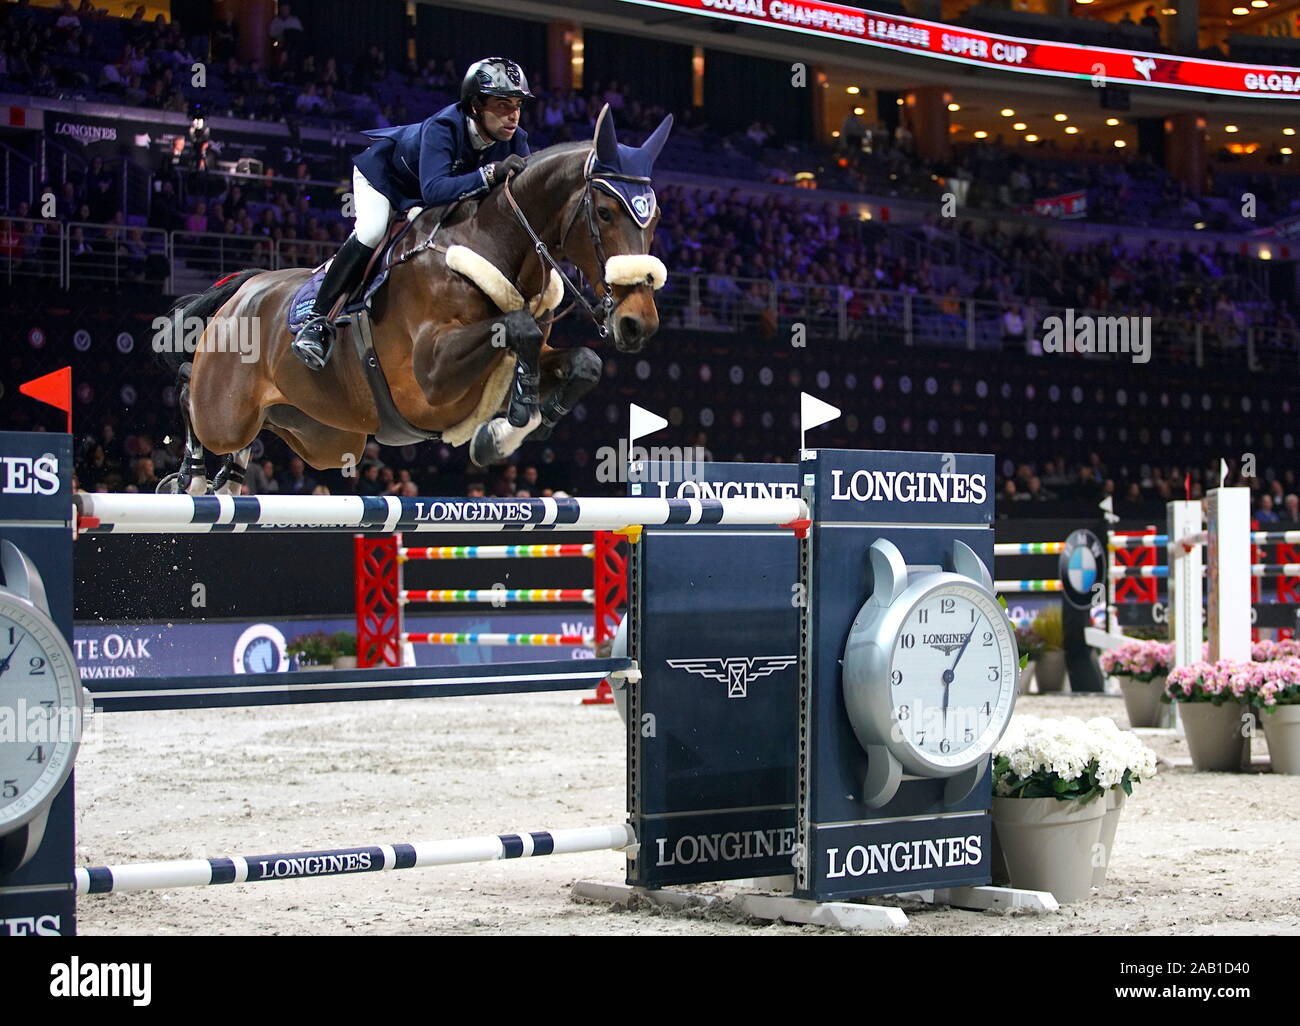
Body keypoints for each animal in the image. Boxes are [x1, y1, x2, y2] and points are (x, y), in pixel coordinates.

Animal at [152, 105, 670, 491]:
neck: (495, 246)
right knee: (190, 391)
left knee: (260, 430)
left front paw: (515, 428)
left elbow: (584, 362)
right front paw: (511, 423)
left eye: (656, 218)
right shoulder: (429, 375)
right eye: (604, 212)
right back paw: (189, 476)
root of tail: (244, 288)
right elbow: (517, 327)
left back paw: (228, 476)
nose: (637, 323)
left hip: (321, 434)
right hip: (225, 406)